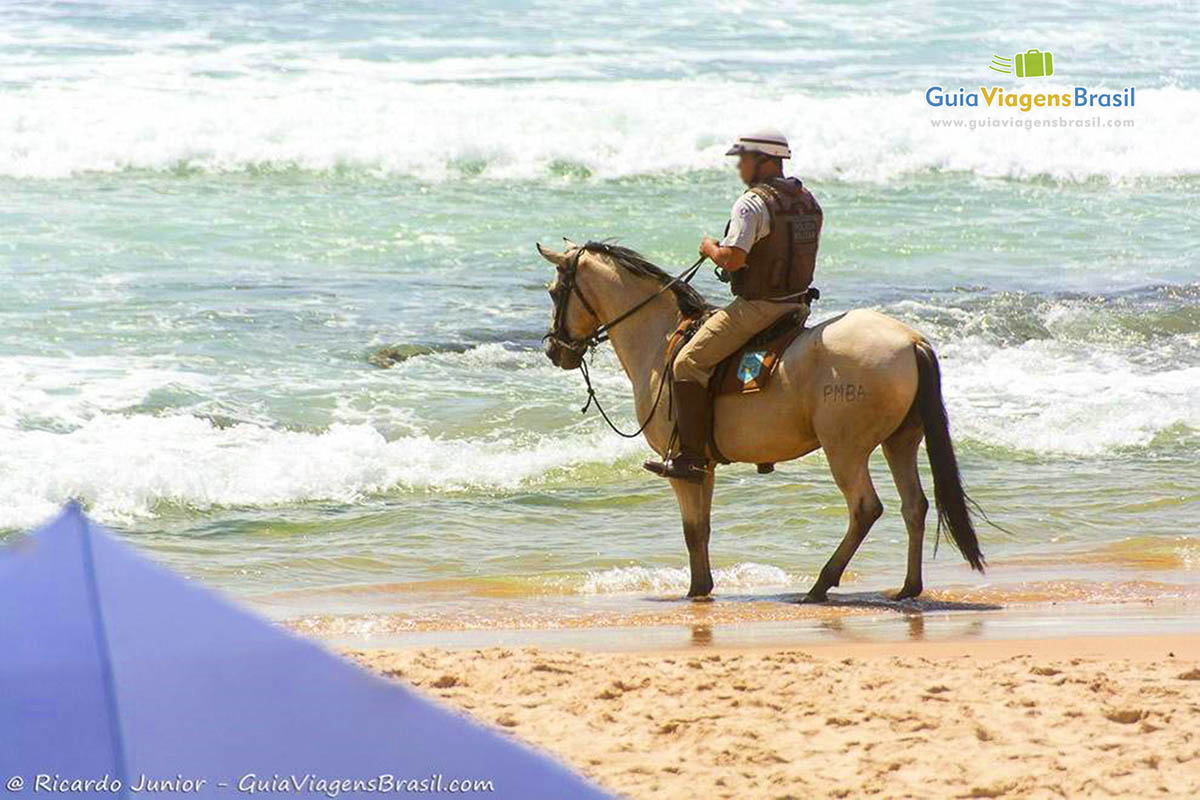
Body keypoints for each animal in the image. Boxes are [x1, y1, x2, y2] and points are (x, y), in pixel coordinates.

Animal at [542, 241, 984, 604]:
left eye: (553, 292)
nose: (552, 350)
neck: (661, 338)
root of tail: (910, 340)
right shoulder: (702, 465)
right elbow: (701, 529)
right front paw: (701, 588)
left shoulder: (682, 467)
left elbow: (691, 529)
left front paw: (696, 591)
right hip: (900, 441)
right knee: (915, 506)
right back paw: (907, 588)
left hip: (845, 449)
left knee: (865, 508)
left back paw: (821, 584)